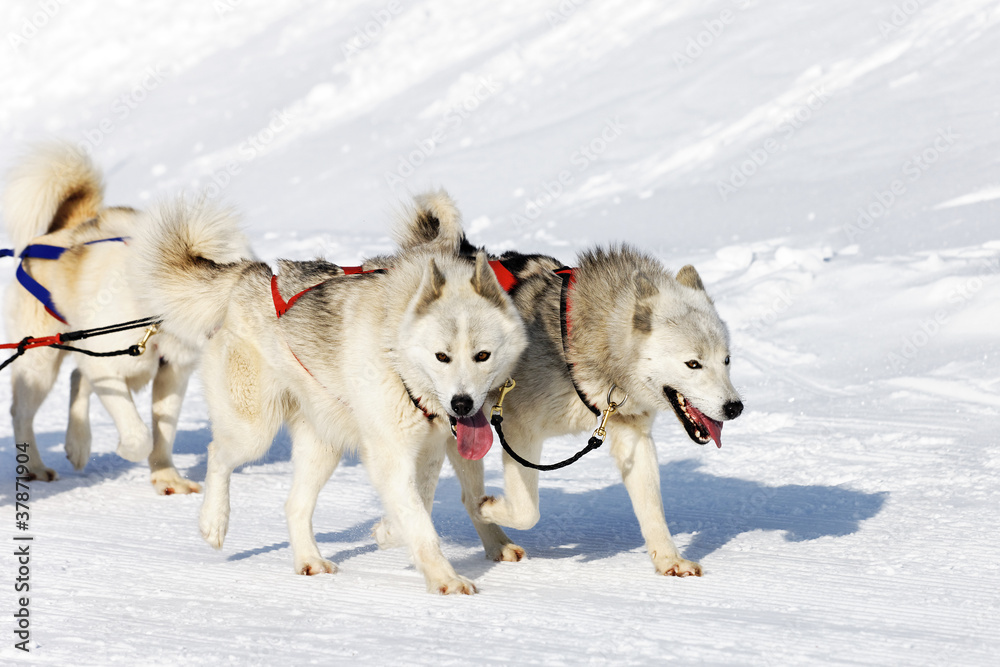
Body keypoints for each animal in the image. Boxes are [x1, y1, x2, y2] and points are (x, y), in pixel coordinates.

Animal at [3, 144, 246, 494]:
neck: (154, 318)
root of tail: (63, 229)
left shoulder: (172, 374)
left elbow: (163, 435)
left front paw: (166, 477)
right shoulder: (107, 366)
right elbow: (140, 434)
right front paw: (127, 450)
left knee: (77, 379)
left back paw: (77, 444)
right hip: (41, 359)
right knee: (22, 412)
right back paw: (35, 466)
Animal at [136, 204, 528, 596]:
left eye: (482, 355)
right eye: (441, 357)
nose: (462, 404)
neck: (395, 348)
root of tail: (252, 274)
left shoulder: (427, 452)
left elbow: (420, 505)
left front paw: (389, 531)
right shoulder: (390, 453)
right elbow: (419, 523)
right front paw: (445, 578)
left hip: (323, 447)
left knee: (294, 505)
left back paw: (309, 559)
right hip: (254, 432)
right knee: (218, 454)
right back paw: (214, 523)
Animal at [390, 192, 744, 576]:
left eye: (726, 360)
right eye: (693, 364)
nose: (735, 408)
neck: (580, 342)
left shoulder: (632, 434)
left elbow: (652, 509)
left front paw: (669, 560)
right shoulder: (518, 432)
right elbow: (527, 511)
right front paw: (490, 506)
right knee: (462, 494)